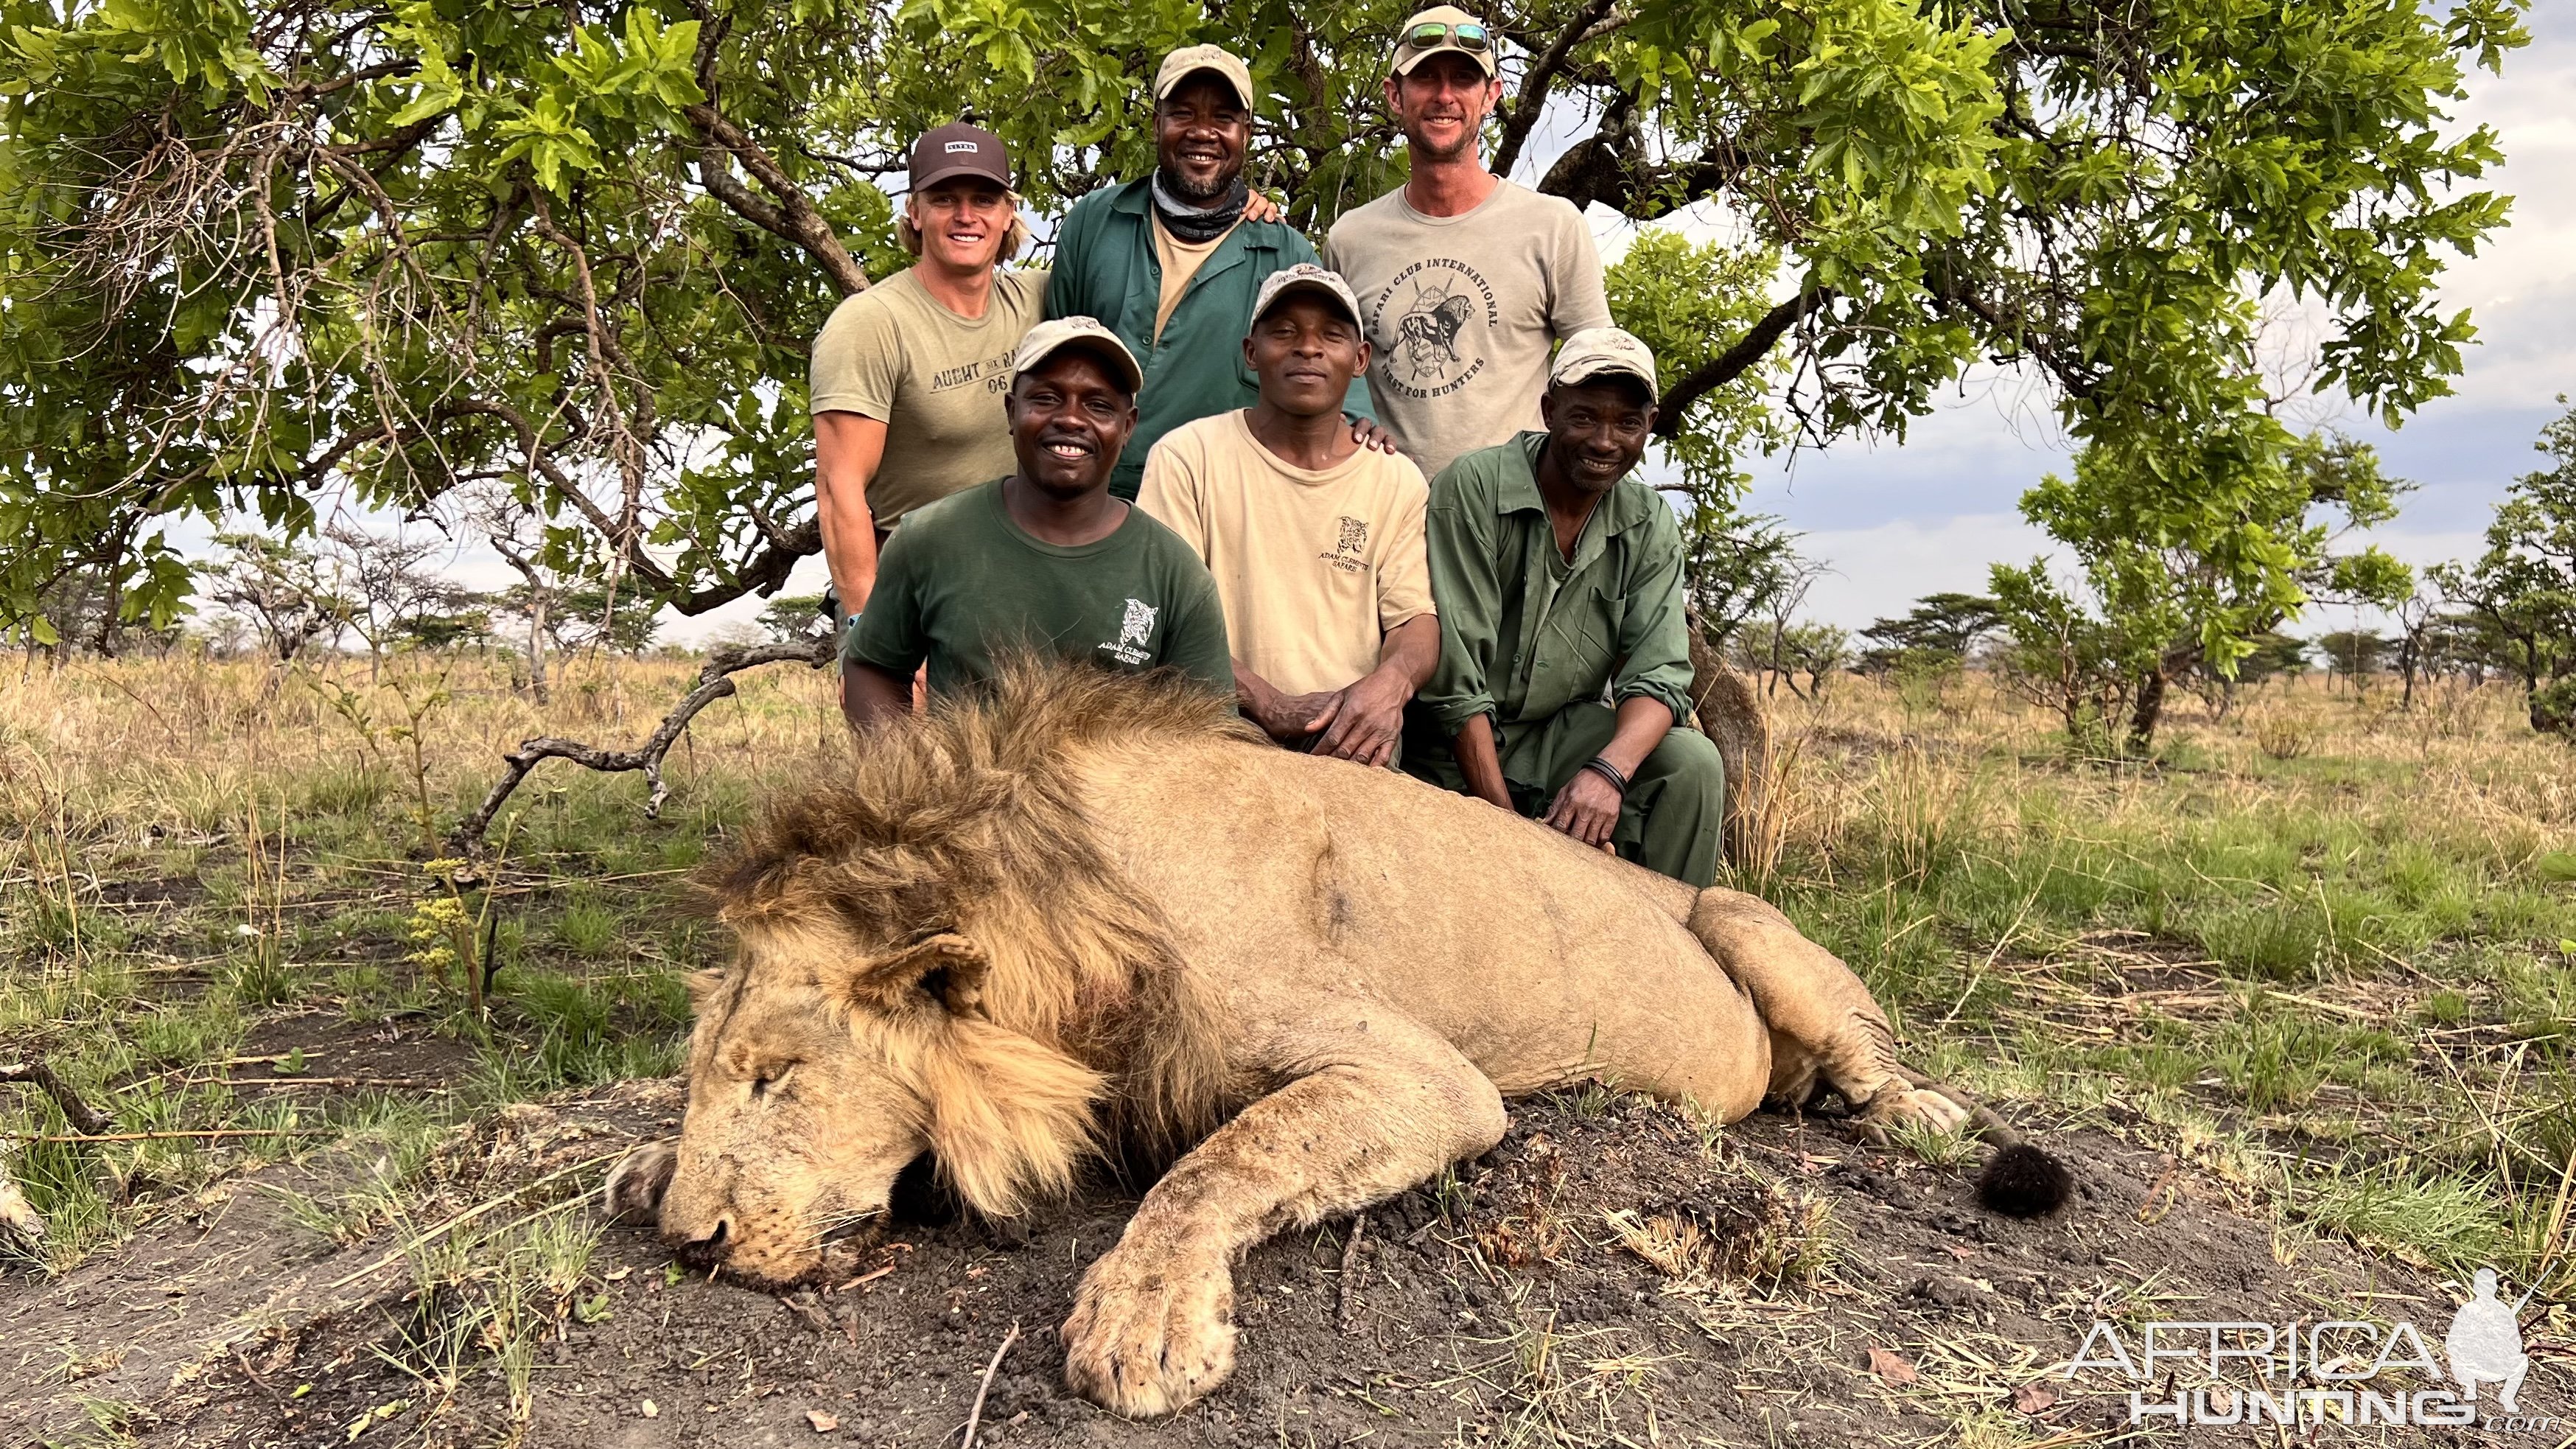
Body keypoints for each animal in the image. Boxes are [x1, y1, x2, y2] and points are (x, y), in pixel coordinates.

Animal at [608, 660, 2071, 1413]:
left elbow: (1223, 1162)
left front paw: (1143, 1322)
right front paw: (643, 1167)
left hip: (1740, 916)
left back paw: (1913, 1116)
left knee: (1867, 1057)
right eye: (711, 1074)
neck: (1065, 904)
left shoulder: (1426, 1074)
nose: (695, 1243)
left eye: (779, 1074)